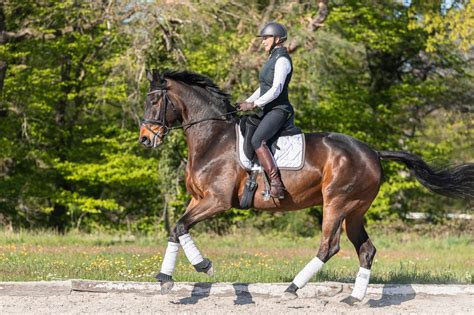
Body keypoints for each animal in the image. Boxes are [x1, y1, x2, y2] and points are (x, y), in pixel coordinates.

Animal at [138, 69, 474, 304]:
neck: (213, 138)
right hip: (355, 212)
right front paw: (166, 277)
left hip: (336, 204)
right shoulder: (199, 200)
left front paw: (203, 266)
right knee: (366, 249)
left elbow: (182, 227)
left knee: (329, 246)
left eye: (154, 100)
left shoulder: (216, 201)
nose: (145, 139)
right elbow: (177, 228)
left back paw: (293, 287)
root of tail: (374, 152)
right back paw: (354, 298)